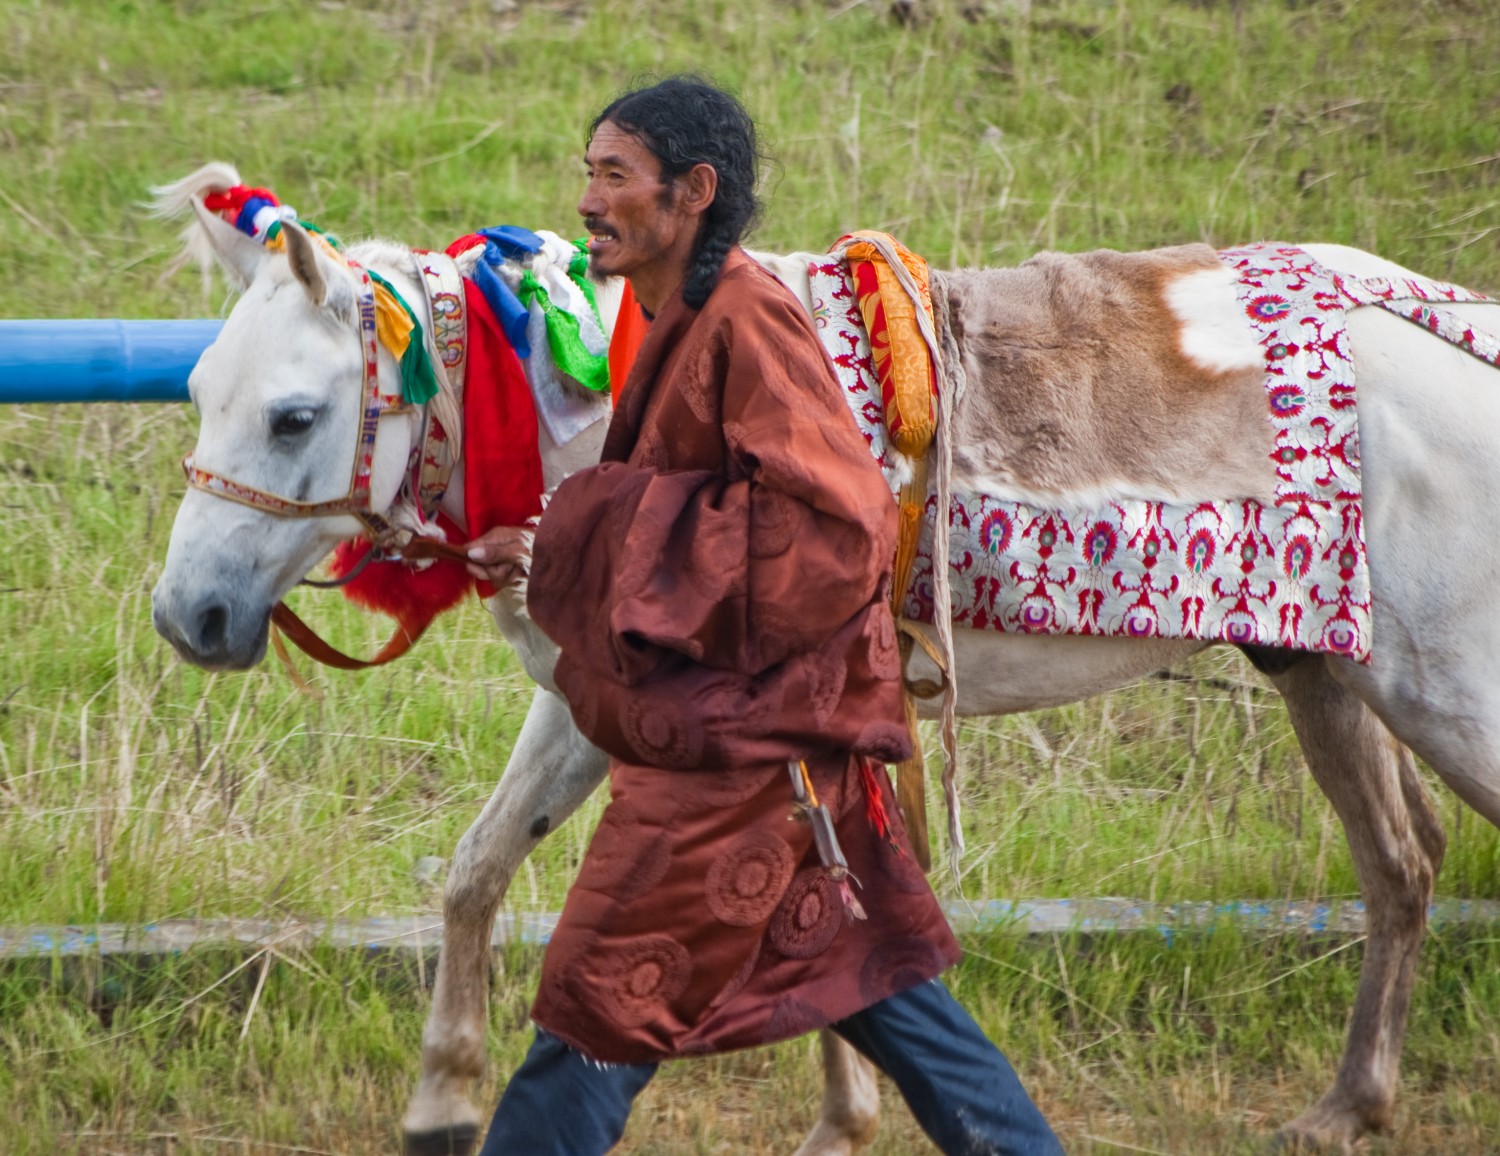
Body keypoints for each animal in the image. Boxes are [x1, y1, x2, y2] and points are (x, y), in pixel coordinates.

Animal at [149, 164, 1500, 1156]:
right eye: (201, 388)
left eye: (294, 415)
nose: (187, 616)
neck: (594, 412)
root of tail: (1448, 331)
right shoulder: (594, 708)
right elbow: (480, 869)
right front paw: (443, 1100)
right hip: (1325, 672)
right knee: (1402, 862)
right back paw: (1348, 1105)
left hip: (1441, 689)